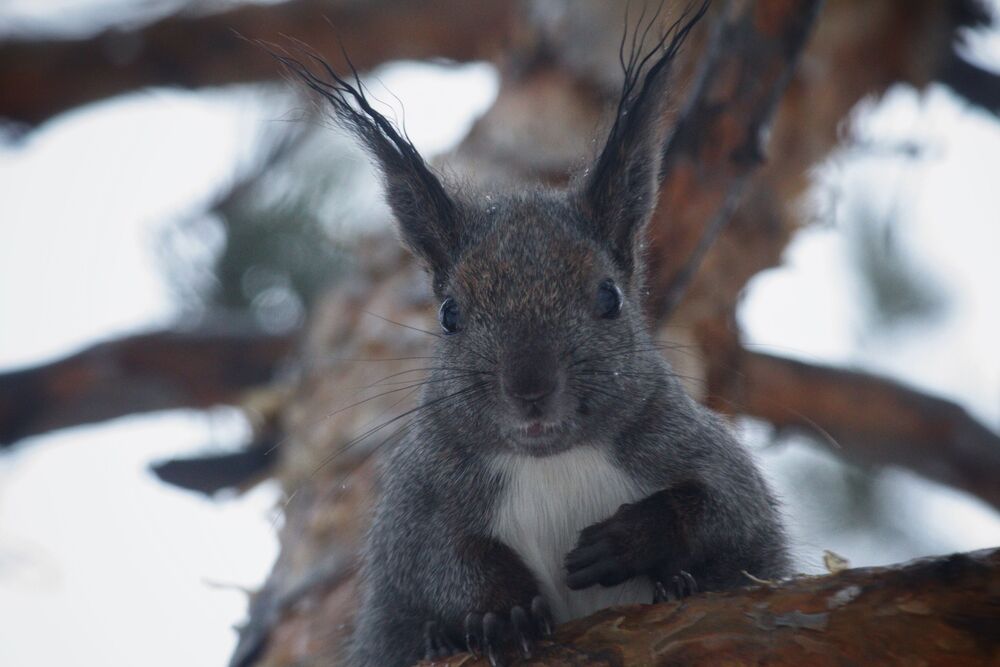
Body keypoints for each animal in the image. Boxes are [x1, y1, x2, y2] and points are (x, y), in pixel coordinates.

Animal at [275, 4, 790, 666]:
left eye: (609, 297)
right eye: (449, 313)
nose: (530, 389)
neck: (551, 461)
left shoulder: (699, 453)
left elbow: (722, 513)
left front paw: (626, 542)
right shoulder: (416, 507)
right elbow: (445, 561)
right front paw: (505, 612)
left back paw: (677, 584)